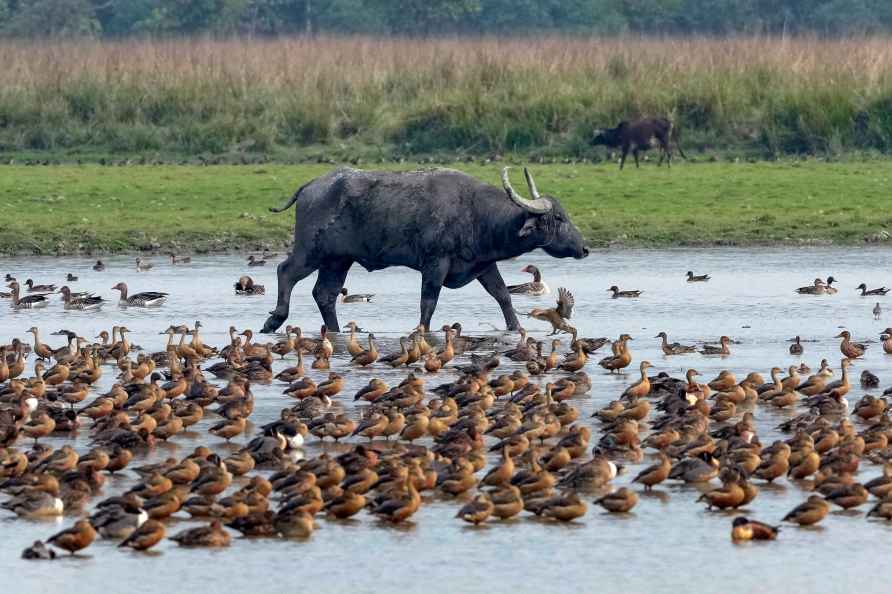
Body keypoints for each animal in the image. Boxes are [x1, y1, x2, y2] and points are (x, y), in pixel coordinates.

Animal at [262, 166, 588, 332]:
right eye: (559, 218)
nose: (584, 248)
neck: (477, 213)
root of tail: (311, 186)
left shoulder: (482, 265)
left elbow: (503, 296)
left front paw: (516, 328)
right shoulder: (435, 263)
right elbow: (427, 303)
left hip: (338, 261)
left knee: (325, 295)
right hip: (311, 252)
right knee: (285, 271)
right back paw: (274, 320)